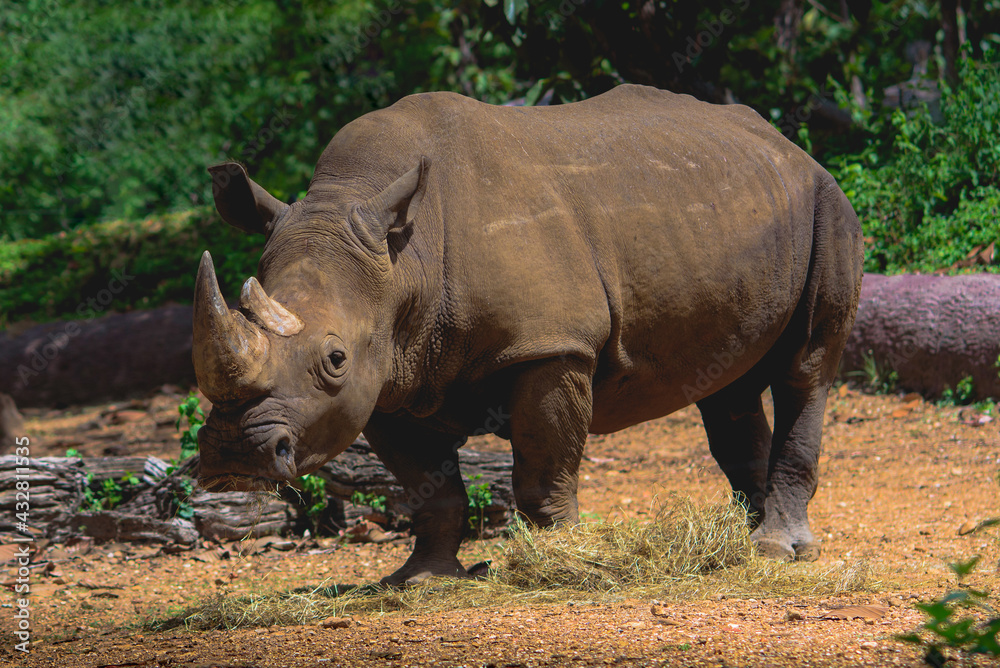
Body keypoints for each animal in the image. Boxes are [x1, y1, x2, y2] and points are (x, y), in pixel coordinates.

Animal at [194, 84, 863, 584]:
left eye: (333, 358)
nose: (236, 454)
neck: (403, 263)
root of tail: (789, 147)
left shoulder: (549, 347)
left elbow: (544, 468)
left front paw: (558, 561)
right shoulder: (385, 378)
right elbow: (428, 488)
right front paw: (423, 579)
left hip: (827, 204)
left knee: (806, 369)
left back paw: (779, 549)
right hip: (732, 210)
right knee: (726, 385)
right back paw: (747, 542)